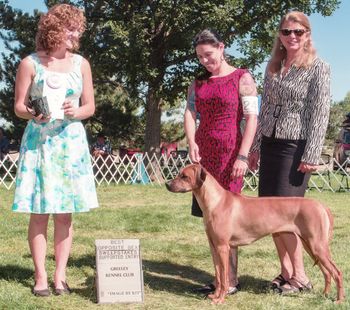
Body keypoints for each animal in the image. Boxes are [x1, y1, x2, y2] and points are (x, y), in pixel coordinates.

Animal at [166, 163, 344, 304]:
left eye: (184, 176)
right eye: (178, 173)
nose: (167, 184)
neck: (215, 201)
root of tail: (321, 205)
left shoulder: (223, 247)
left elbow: (224, 278)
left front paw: (220, 299)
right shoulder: (214, 246)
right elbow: (218, 274)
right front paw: (214, 295)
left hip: (317, 245)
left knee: (337, 272)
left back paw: (339, 299)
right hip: (311, 246)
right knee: (327, 272)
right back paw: (325, 294)